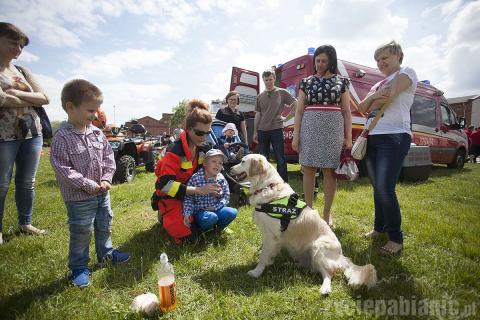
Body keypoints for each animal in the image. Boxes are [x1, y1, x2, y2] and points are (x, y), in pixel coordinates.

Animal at [231, 154, 376, 294]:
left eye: (243, 161)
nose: (230, 168)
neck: (266, 186)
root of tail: (342, 257)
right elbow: (266, 253)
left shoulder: (271, 236)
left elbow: (263, 256)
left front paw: (256, 272)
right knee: (311, 267)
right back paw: (290, 265)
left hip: (318, 248)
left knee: (328, 273)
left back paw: (325, 288)